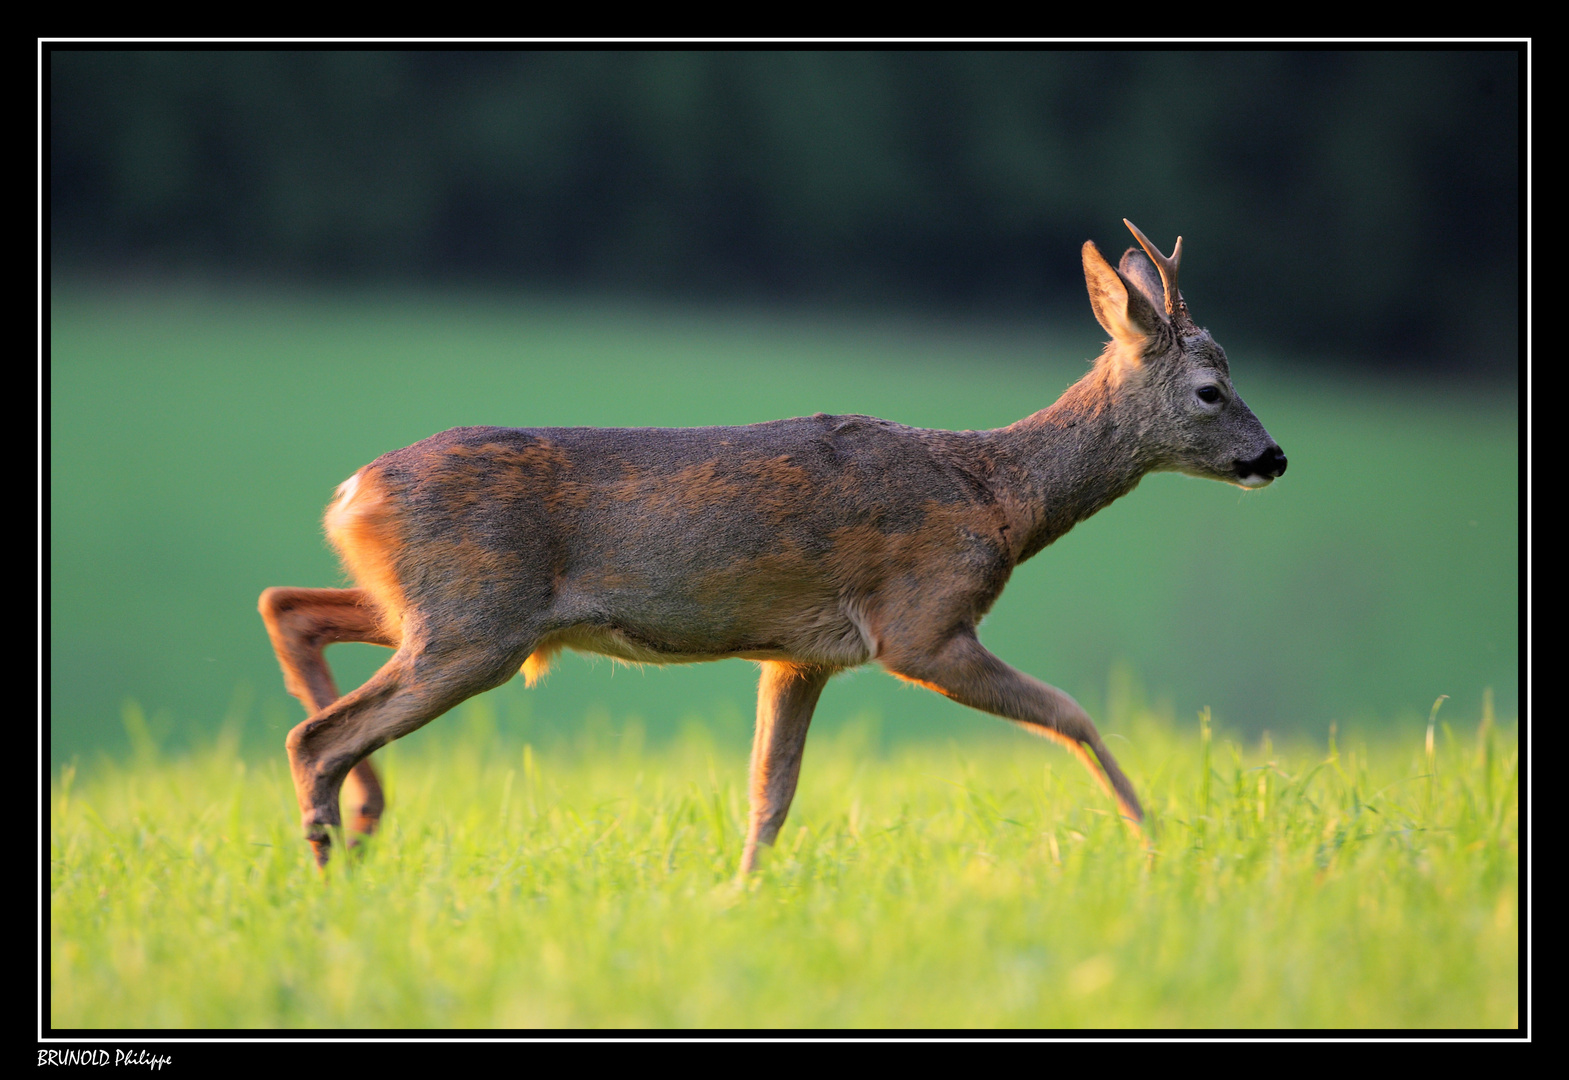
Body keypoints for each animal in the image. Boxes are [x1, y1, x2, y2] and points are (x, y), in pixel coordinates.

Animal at [257, 219, 1286, 866]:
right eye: (1210, 391)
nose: (1272, 457)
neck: (997, 495)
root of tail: (351, 494)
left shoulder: (800, 656)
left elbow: (770, 795)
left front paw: (736, 895)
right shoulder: (920, 625)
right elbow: (1074, 713)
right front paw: (1155, 842)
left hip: (433, 610)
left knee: (289, 609)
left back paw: (363, 818)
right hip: (476, 624)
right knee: (315, 734)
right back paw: (327, 853)